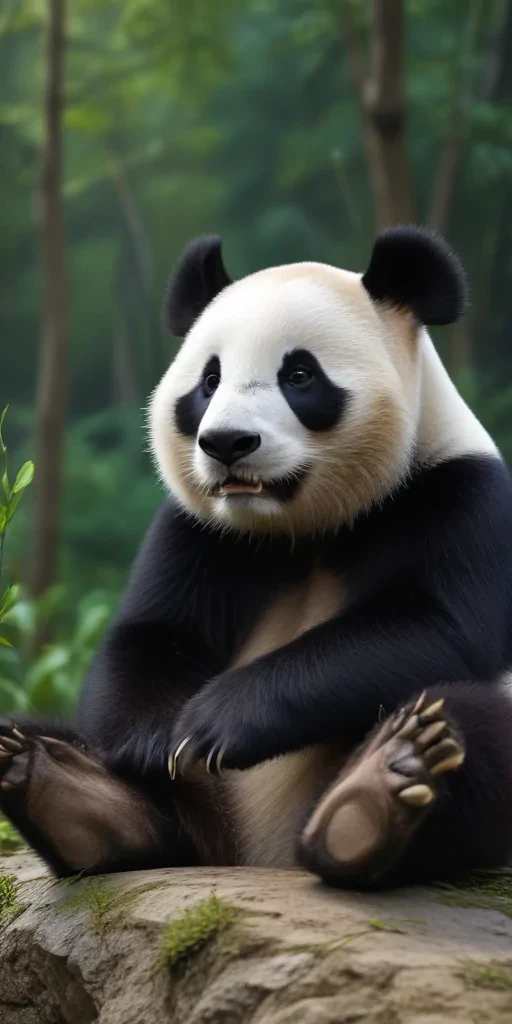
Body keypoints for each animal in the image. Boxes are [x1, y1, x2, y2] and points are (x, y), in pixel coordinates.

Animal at [2, 225, 512, 888]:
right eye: (208, 381)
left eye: (298, 374)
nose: (226, 443)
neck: (303, 526)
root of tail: (255, 858)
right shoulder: (200, 531)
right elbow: (150, 634)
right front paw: (155, 740)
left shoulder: (459, 497)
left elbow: (436, 627)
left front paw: (216, 723)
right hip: (200, 818)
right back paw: (63, 786)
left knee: (469, 721)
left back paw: (372, 798)